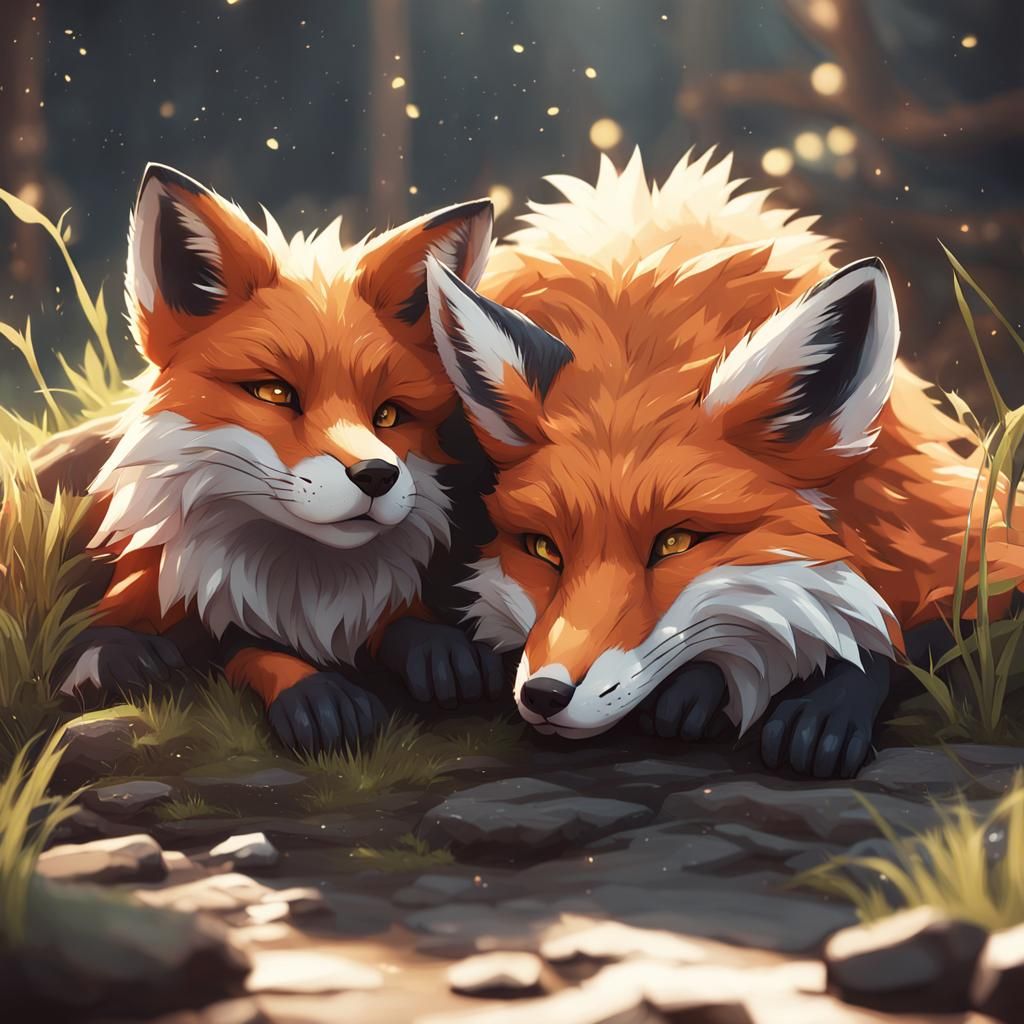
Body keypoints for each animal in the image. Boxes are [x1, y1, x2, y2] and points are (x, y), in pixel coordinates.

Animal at [50, 163, 504, 755]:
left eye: (387, 415)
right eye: (274, 393)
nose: (377, 475)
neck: (301, 584)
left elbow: (406, 624)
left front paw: (441, 648)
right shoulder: (121, 615)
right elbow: (221, 648)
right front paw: (313, 692)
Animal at [424, 149, 1024, 778]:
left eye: (675, 543)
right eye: (543, 549)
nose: (544, 695)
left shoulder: (951, 536)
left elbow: (919, 634)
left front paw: (823, 705)